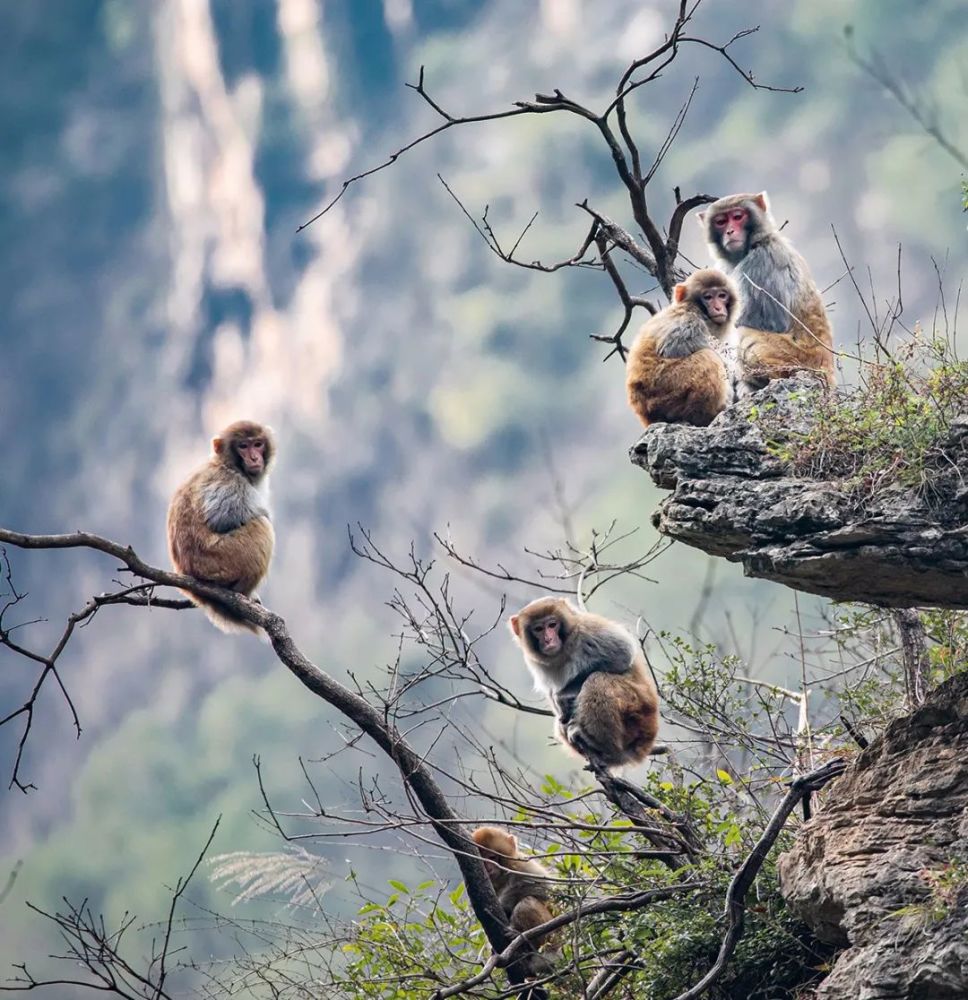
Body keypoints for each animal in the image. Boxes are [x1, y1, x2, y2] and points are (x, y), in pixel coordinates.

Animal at [167, 420, 276, 632]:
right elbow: (222, 517)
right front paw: (264, 512)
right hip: (220, 563)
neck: (227, 464)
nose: (254, 457)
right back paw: (242, 593)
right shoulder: (228, 481)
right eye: (243, 446)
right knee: (262, 527)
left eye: (258, 444)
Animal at [506, 596, 656, 768]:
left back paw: (607, 748)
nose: (549, 639)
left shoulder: (587, 630)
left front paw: (563, 695)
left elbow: (622, 653)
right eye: (538, 629)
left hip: (637, 714)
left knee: (597, 680)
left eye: (552, 625)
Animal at [624, 268, 736, 428]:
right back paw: (706, 416)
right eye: (708, 297)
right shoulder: (689, 322)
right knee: (708, 357)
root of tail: (645, 415)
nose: (718, 307)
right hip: (666, 391)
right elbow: (671, 349)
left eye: (722, 296)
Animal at [700, 189, 836, 396]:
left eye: (738, 217)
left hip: (798, 360)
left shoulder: (761, 261)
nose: (730, 231)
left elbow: (767, 321)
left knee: (746, 336)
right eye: (721, 221)